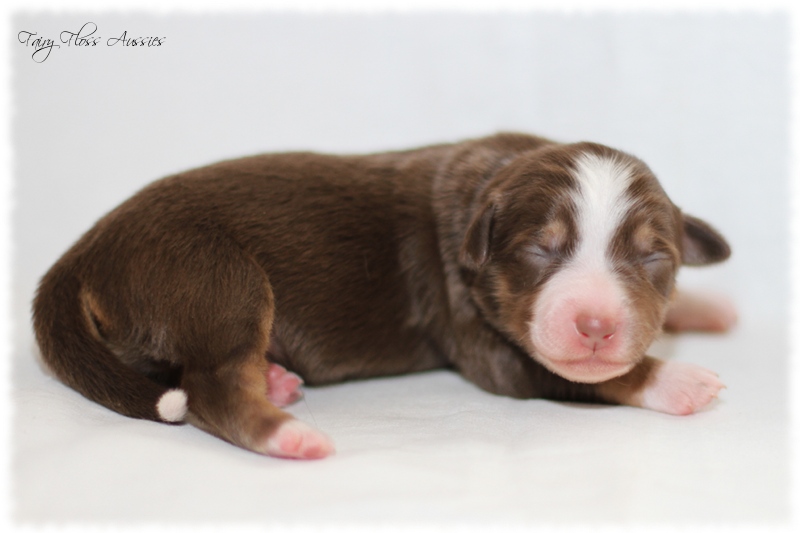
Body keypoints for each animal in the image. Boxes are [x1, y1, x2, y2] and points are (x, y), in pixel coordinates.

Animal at [31, 132, 736, 458]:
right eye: (540, 249)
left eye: (654, 257)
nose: (596, 325)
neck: (488, 186)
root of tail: (83, 251)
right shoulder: (487, 346)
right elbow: (591, 376)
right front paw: (678, 379)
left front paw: (705, 308)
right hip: (216, 279)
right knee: (211, 387)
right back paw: (289, 434)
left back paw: (276, 379)